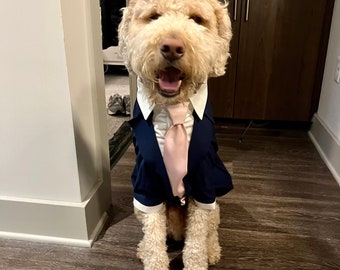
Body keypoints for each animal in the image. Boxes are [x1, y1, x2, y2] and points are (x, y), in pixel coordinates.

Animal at [118, 1, 232, 268]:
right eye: (153, 17)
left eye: (197, 19)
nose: (172, 48)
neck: (173, 108)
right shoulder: (147, 184)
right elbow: (154, 239)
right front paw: (153, 258)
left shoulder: (204, 183)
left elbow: (196, 241)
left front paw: (198, 260)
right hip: (140, 208)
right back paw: (143, 248)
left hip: (215, 209)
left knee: (210, 231)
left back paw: (212, 250)